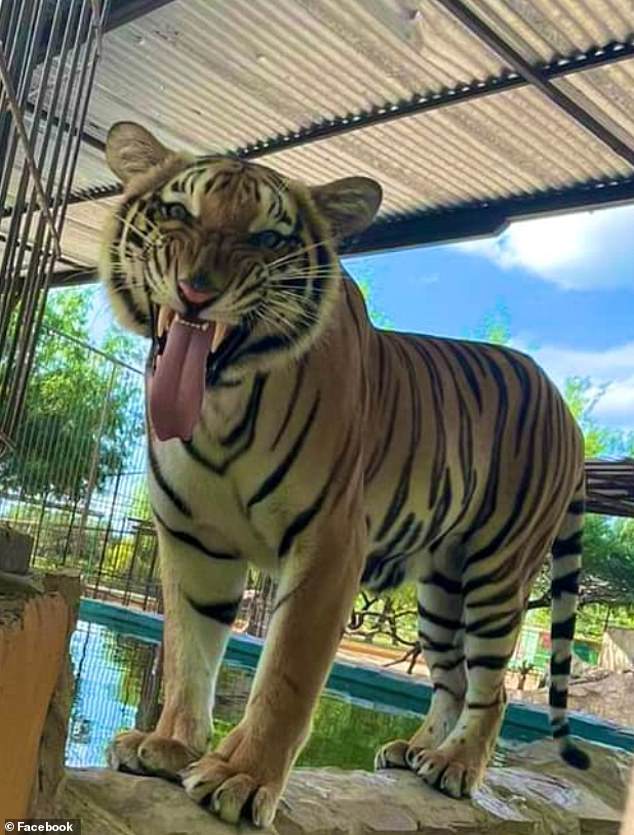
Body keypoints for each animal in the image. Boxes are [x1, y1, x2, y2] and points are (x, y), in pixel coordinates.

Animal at [99, 122, 588, 828]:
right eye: (177, 213)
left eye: (267, 239)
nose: (196, 289)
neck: (219, 404)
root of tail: (568, 413)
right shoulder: (193, 540)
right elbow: (190, 652)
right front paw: (167, 746)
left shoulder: (329, 544)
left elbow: (285, 677)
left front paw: (241, 778)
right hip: (441, 591)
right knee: (453, 680)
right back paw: (413, 752)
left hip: (496, 575)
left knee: (491, 688)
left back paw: (456, 767)